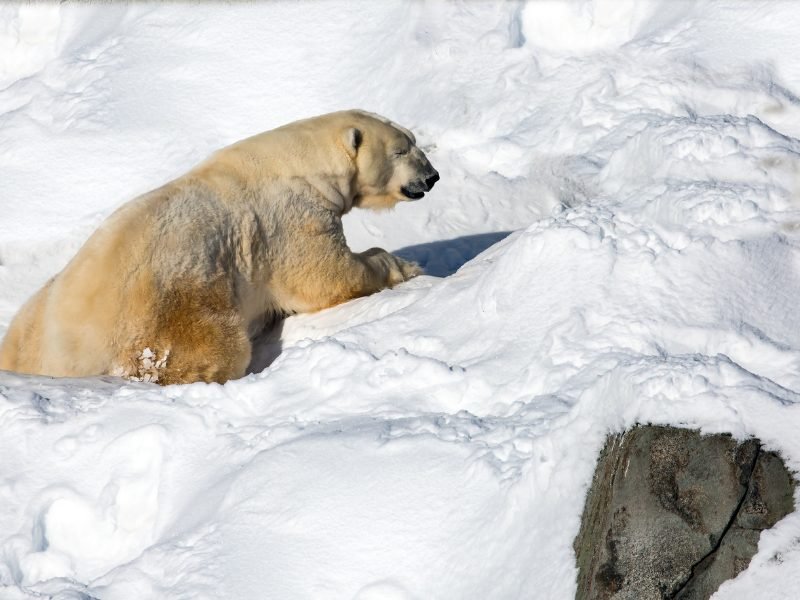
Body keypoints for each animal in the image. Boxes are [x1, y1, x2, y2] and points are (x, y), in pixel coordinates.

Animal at [0, 109, 438, 382]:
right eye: (401, 149)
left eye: (416, 140)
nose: (432, 176)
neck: (302, 161)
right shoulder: (288, 217)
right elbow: (324, 275)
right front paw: (402, 264)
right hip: (170, 306)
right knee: (208, 350)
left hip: (29, 321)